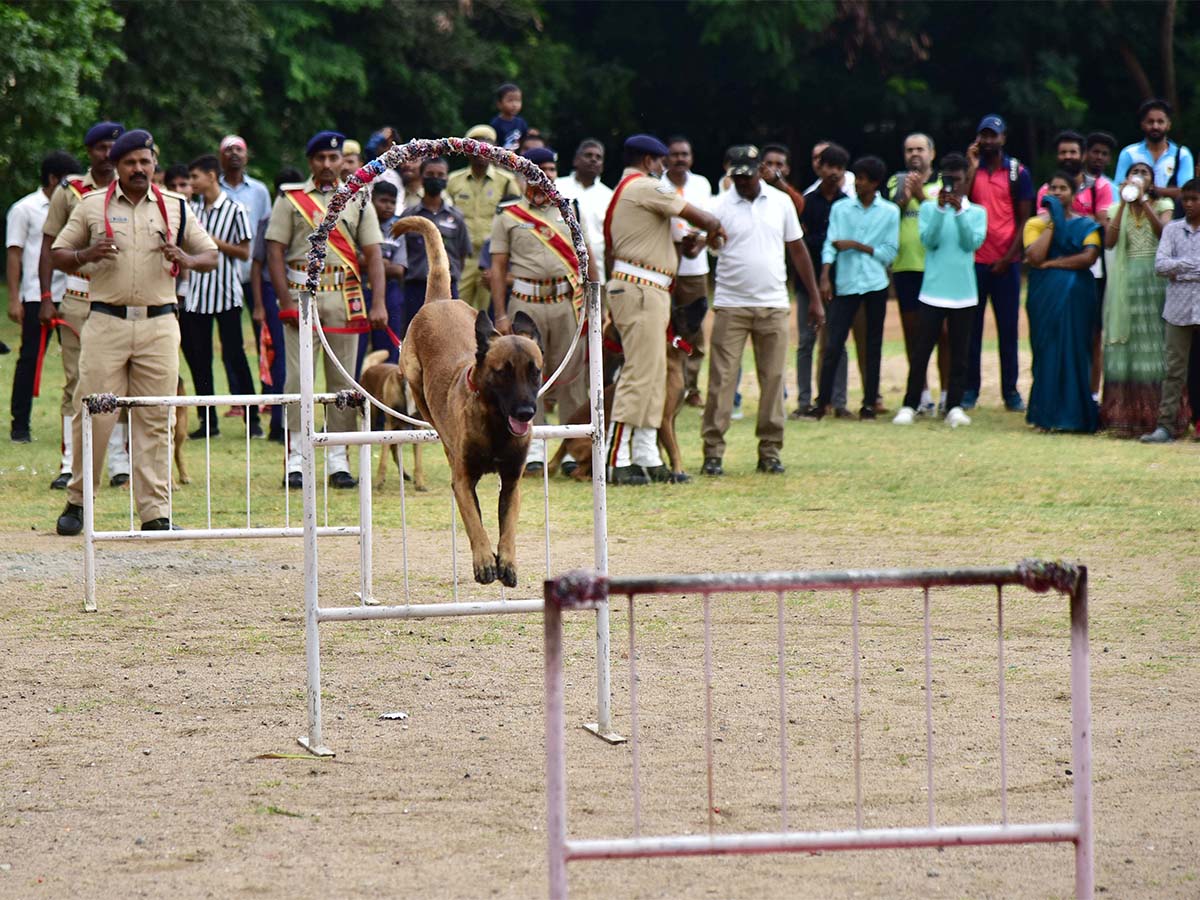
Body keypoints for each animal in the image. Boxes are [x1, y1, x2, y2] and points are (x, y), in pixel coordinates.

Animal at [393, 216, 544, 588]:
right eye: (503, 373)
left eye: (534, 372)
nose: (526, 413)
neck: (496, 424)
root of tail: (439, 300)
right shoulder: (462, 482)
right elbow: (475, 523)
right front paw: (485, 562)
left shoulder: (512, 481)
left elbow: (508, 527)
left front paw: (507, 562)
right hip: (415, 380)